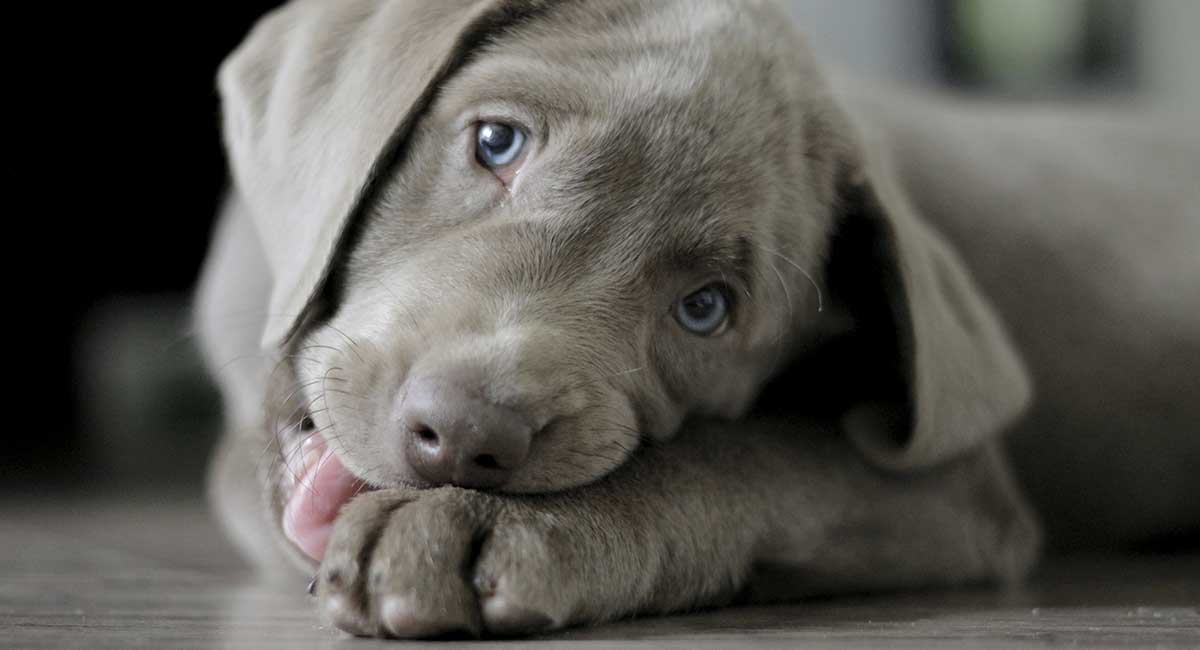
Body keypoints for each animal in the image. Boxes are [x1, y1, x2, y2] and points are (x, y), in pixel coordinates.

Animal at [192, 0, 1195, 642]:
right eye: (496, 142)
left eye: (704, 308)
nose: (468, 435)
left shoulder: (956, 488)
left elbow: (743, 459)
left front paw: (472, 528)